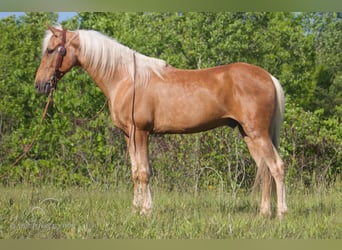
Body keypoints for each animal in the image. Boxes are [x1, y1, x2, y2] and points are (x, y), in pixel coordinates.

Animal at [34, 26, 288, 219]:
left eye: (51, 51)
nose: (40, 85)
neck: (125, 78)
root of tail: (269, 77)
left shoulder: (140, 132)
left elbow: (144, 172)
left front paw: (146, 210)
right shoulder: (128, 135)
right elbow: (135, 171)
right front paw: (136, 209)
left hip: (258, 133)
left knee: (277, 166)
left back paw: (281, 213)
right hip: (249, 134)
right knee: (264, 168)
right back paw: (264, 213)